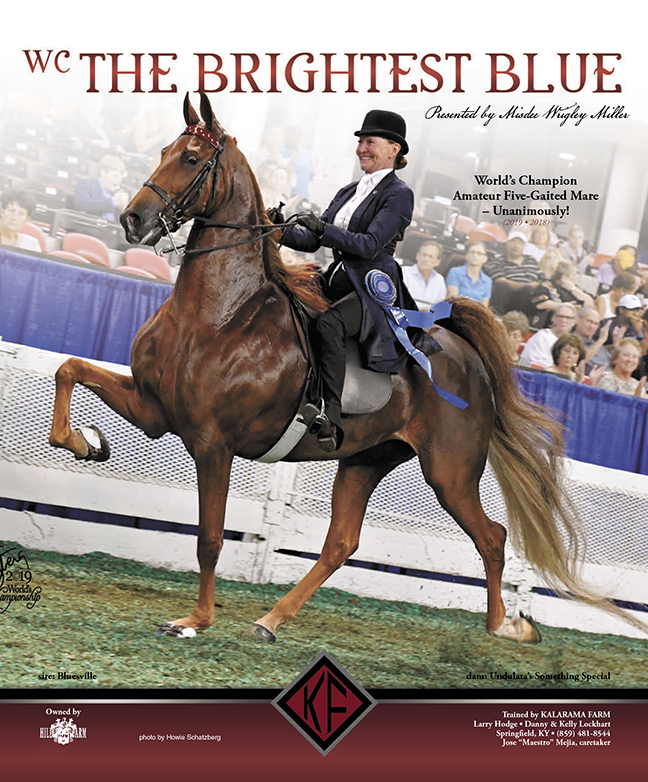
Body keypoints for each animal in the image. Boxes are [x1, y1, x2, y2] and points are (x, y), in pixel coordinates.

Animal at [48, 94, 629, 645]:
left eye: (191, 158)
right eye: (165, 150)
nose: (133, 220)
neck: (218, 314)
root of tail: (468, 358)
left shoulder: (213, 442)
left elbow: (209, 537)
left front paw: (194, 621)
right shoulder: (156, 410)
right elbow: (69, 369)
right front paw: (87, 443)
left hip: (450, 471)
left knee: (491, 537)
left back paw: (504, 627)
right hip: (366, 459)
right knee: (342, 542)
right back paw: (270, 621)